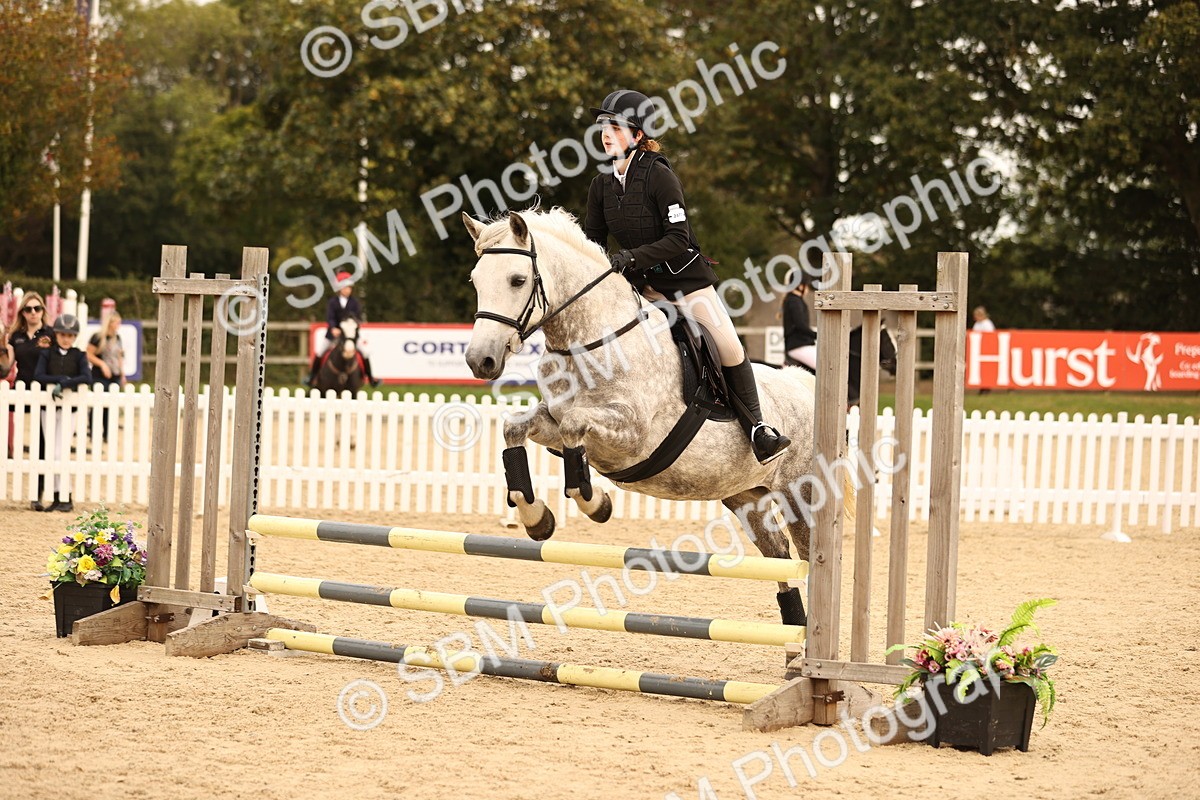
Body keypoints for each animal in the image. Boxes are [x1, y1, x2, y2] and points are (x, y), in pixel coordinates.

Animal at [463, 208, 850, 628]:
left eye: (517, 280)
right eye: (476, 281)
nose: (480, 360)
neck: (592, 341)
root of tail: (806, 384)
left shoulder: (631, 434)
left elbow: (574, 430)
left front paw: (596, 504)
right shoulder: (553, 421)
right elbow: (515, 427)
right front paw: (537, 518)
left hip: (801, 493)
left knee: (811, 555)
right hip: (745, 495)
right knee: (778, 555)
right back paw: (795, 635)